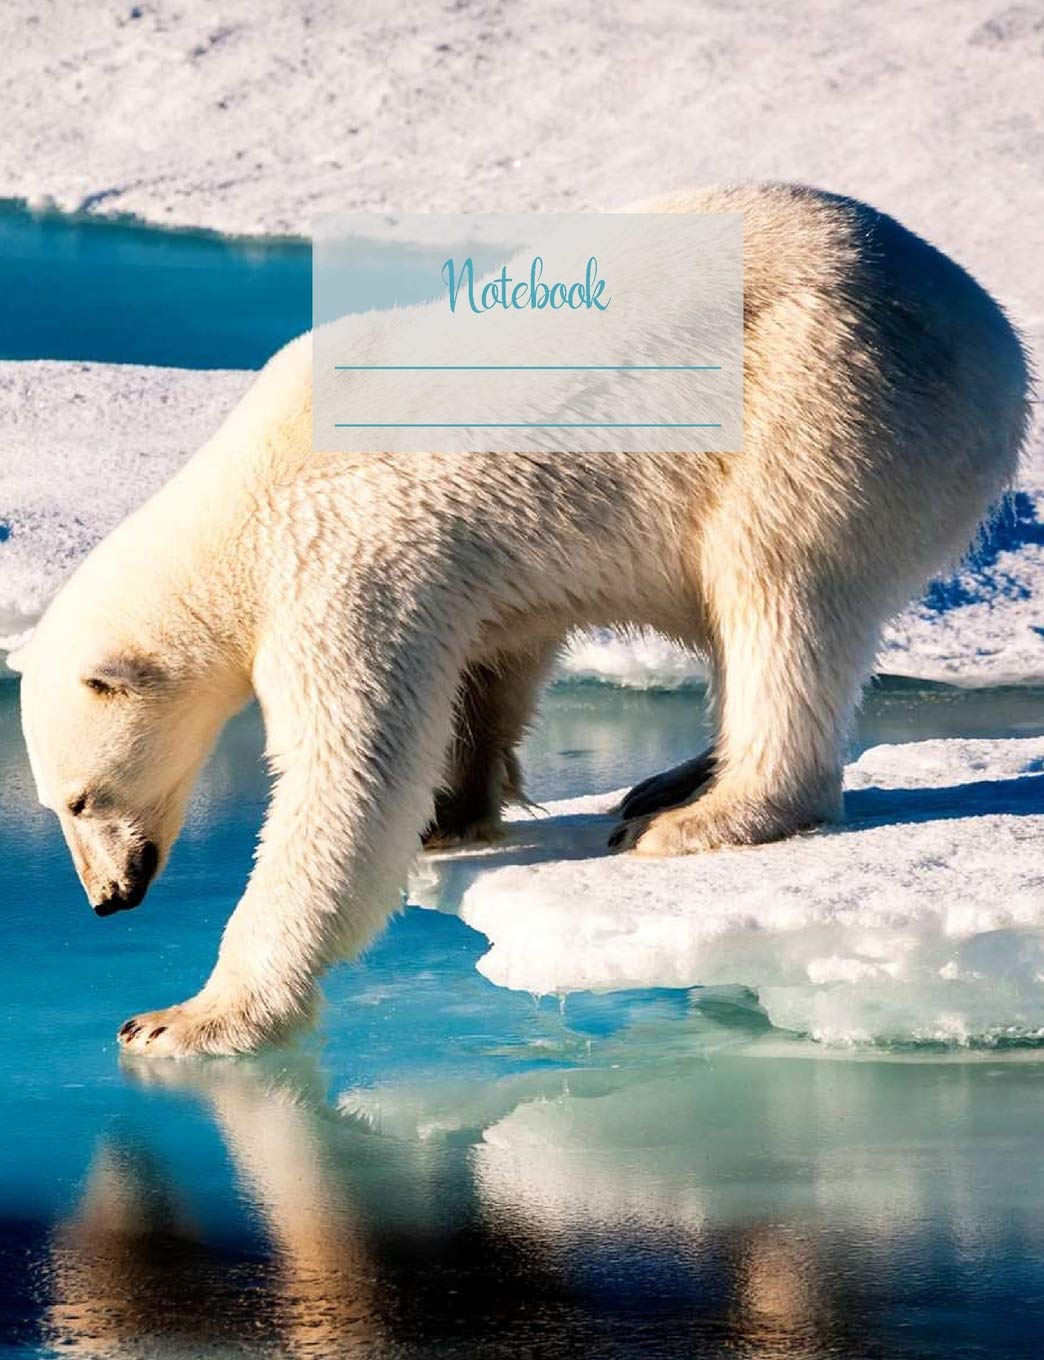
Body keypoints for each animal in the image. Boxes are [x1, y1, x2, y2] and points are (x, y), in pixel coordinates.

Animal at [10, 184, 1030, 1057]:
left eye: (80, 799)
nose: (107, 899)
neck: (243, 503)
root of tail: (997, 341)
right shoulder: (458, 572)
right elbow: (487, 669)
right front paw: (454, 812)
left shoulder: (340, 560)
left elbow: (348, 776)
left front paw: (183, 1018)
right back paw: (673, 779)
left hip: (827, 397)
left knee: (776, 586)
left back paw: (702, 815)